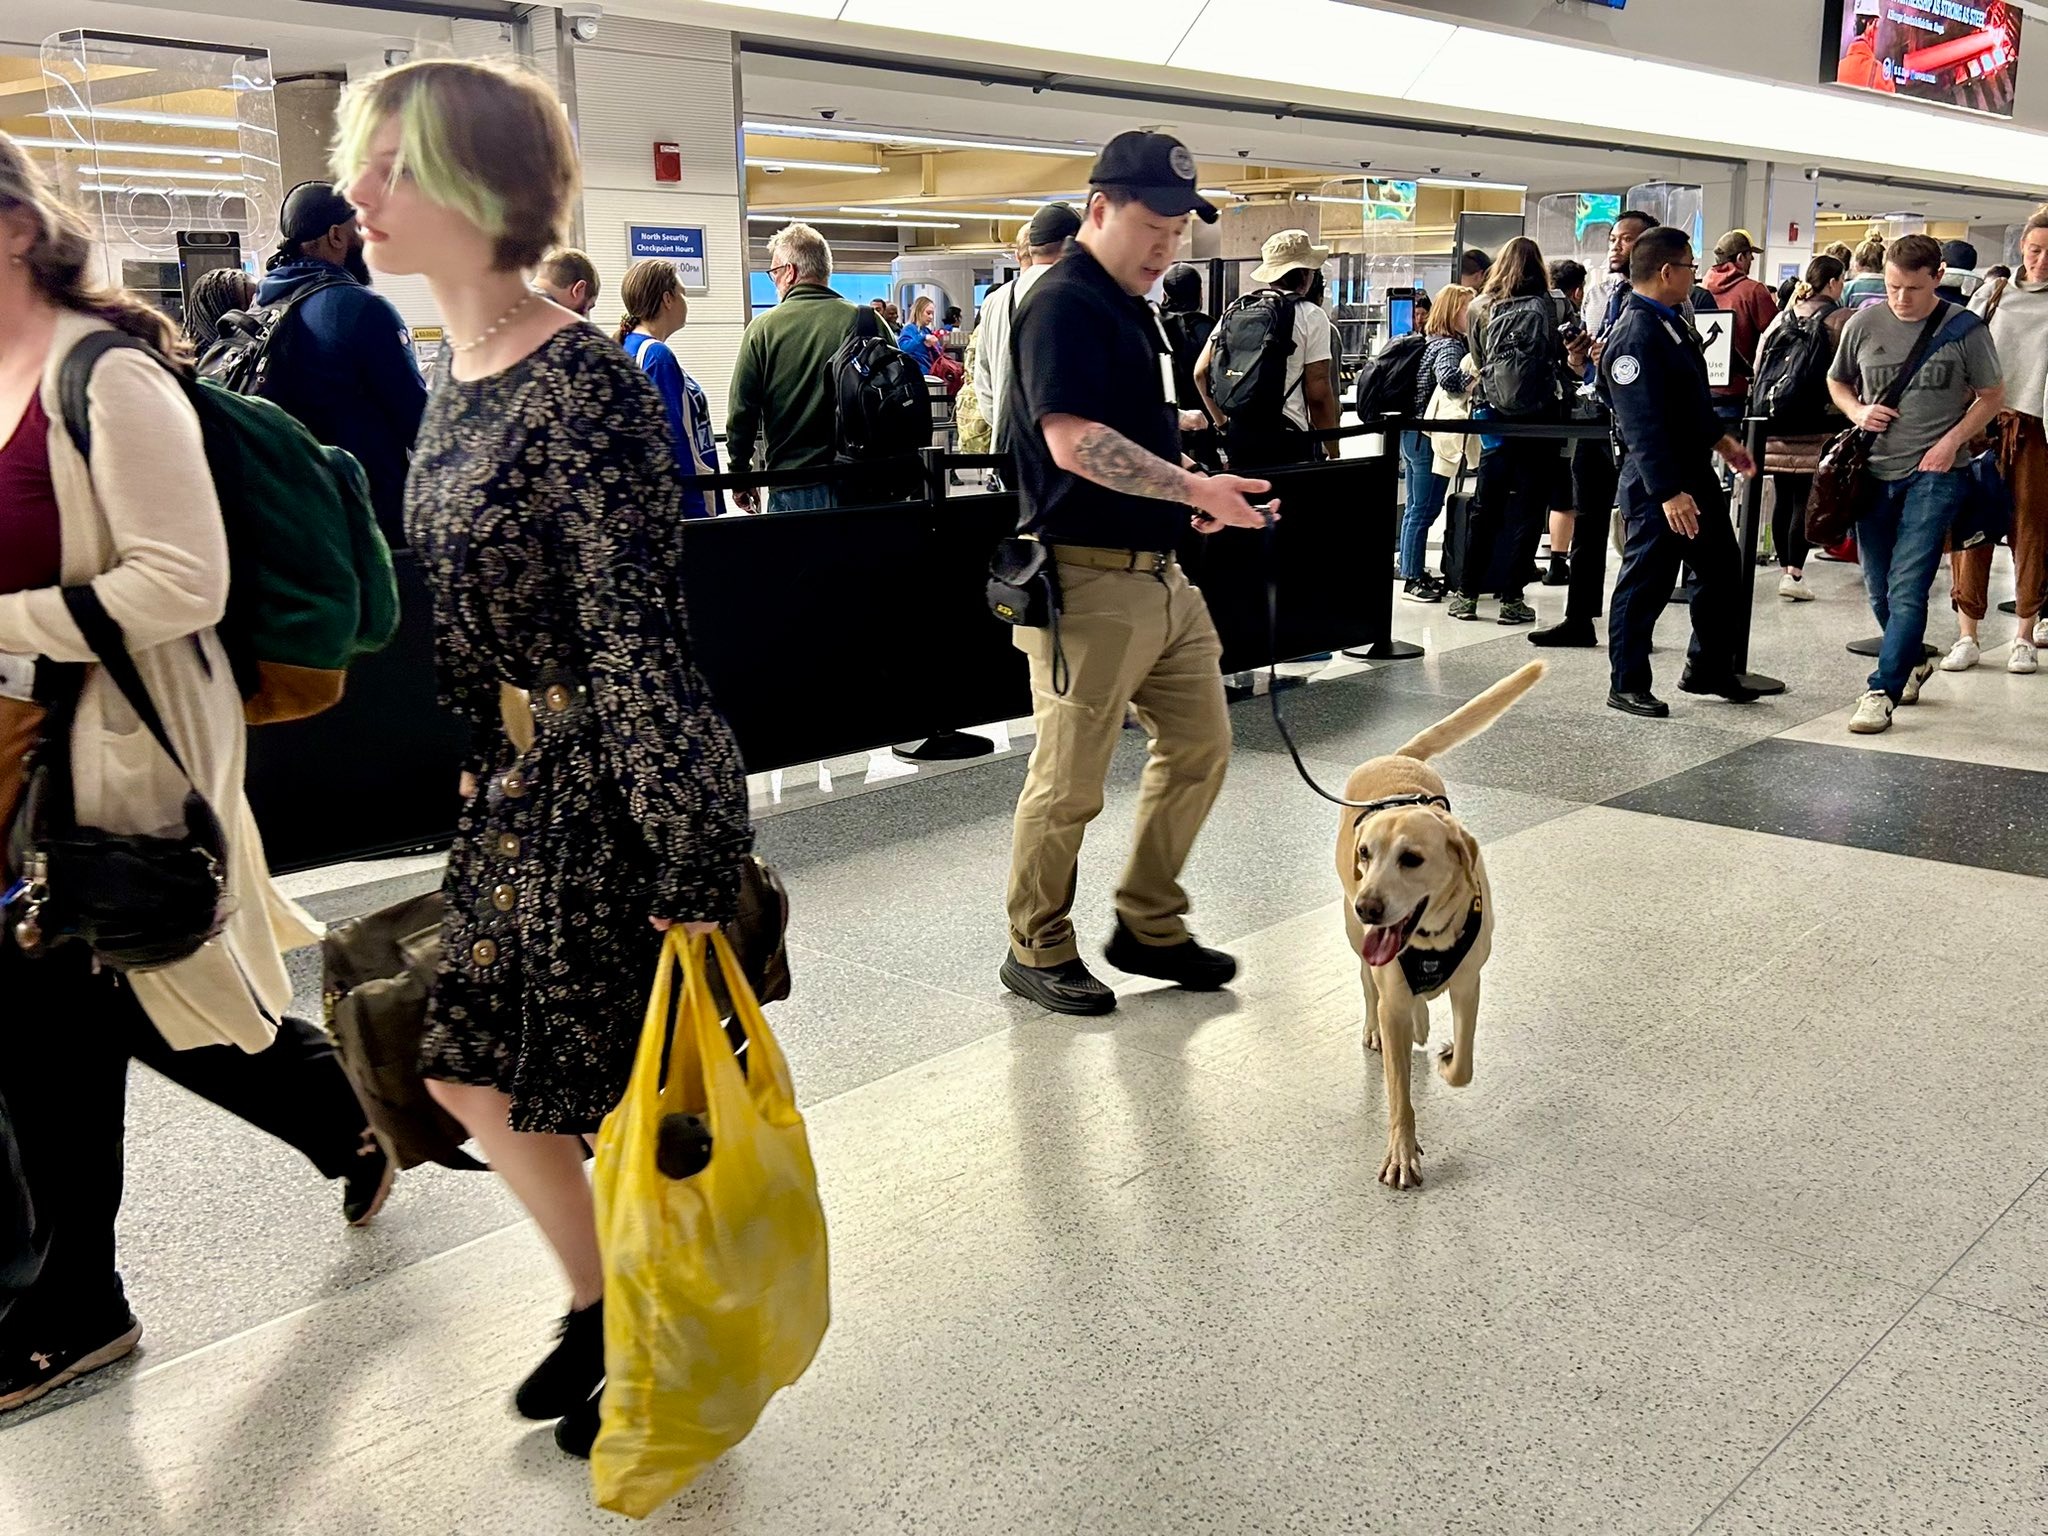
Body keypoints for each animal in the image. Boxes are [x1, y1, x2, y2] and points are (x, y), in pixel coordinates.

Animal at [1335, 663, 1540, 1187]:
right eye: (1365, 854)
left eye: (1411, 859)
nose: (1368, 906)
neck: (1429, 940)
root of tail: (1398, 756)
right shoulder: (1390, 988)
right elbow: (1399, 1095)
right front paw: (1401, 1153)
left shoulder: (1470, 983)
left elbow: (1464, 1062)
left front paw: (1449, 1061)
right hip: (1355, 939)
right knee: (1368, 983)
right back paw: (1382, 1026)